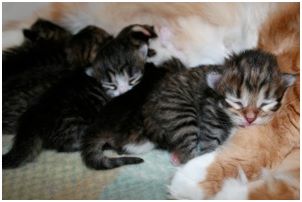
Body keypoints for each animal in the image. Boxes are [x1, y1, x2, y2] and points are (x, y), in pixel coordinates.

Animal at [169, 2, 298, 199]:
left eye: (265, 103)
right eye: (237, 101)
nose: (250, 118)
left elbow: (272, 190)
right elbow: (268, 136)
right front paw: (194, 180)